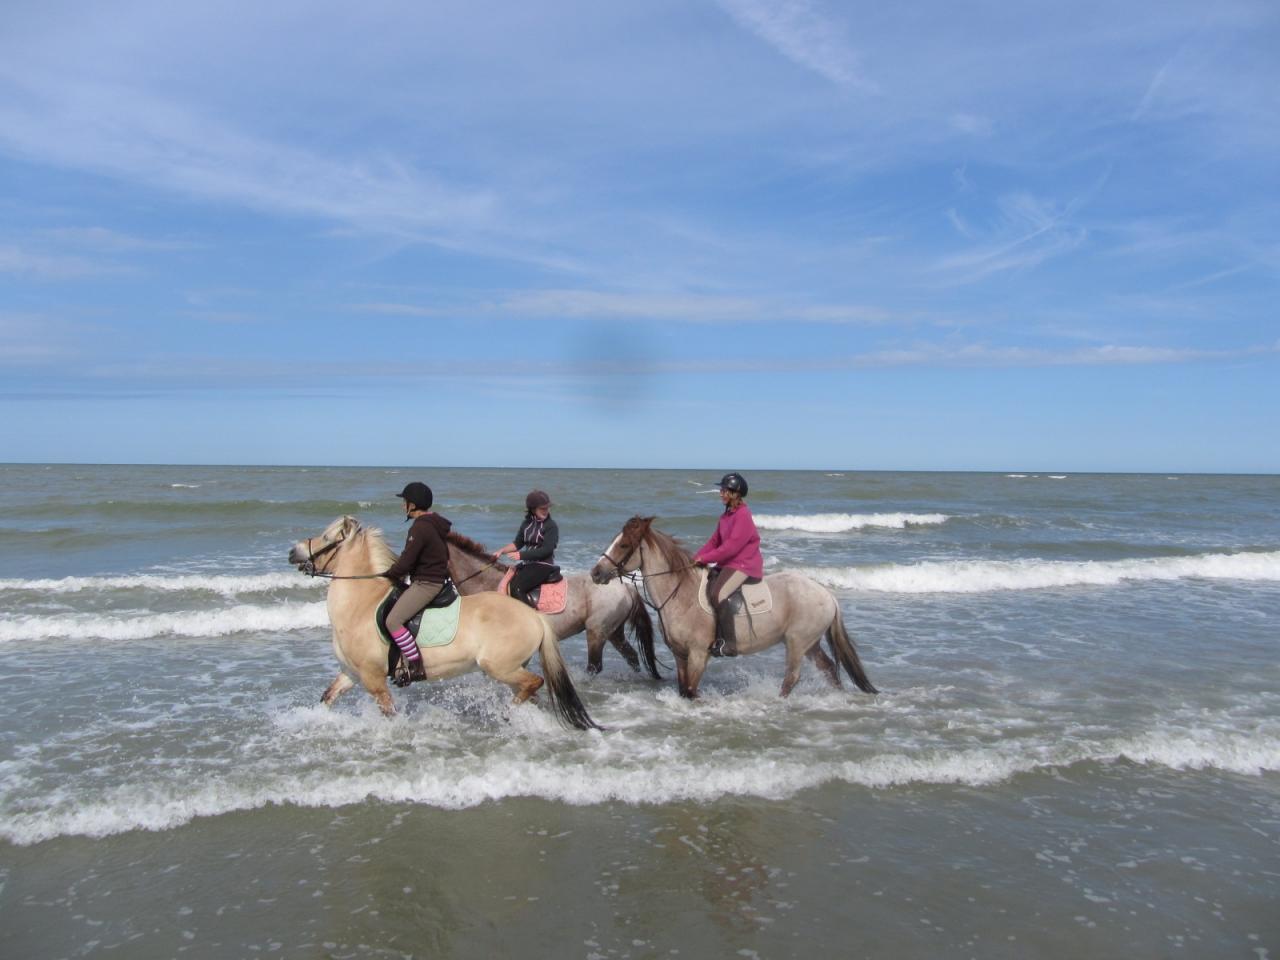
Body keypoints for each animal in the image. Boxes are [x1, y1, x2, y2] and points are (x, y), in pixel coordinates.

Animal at [290, 519, 599, 727]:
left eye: (327, 536)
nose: (293, 552)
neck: (360, 604)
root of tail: (533, 615)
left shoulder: (373, 679)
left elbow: (389, 714)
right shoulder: (351, 673)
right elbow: (327, 698)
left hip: (500, 667)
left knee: (534, 683)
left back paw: (507, 713)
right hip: (510, 668)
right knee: (531, 692)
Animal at [588, 514, 880, 701]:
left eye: (624, 544)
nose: (596, 573)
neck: (680, 594)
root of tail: (827, 595)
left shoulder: (698, 655)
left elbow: (691, 691)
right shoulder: (680, 655)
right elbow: (684, 691)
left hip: (797, 643)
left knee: (792, 677)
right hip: (810, 643)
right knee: (829, 668)